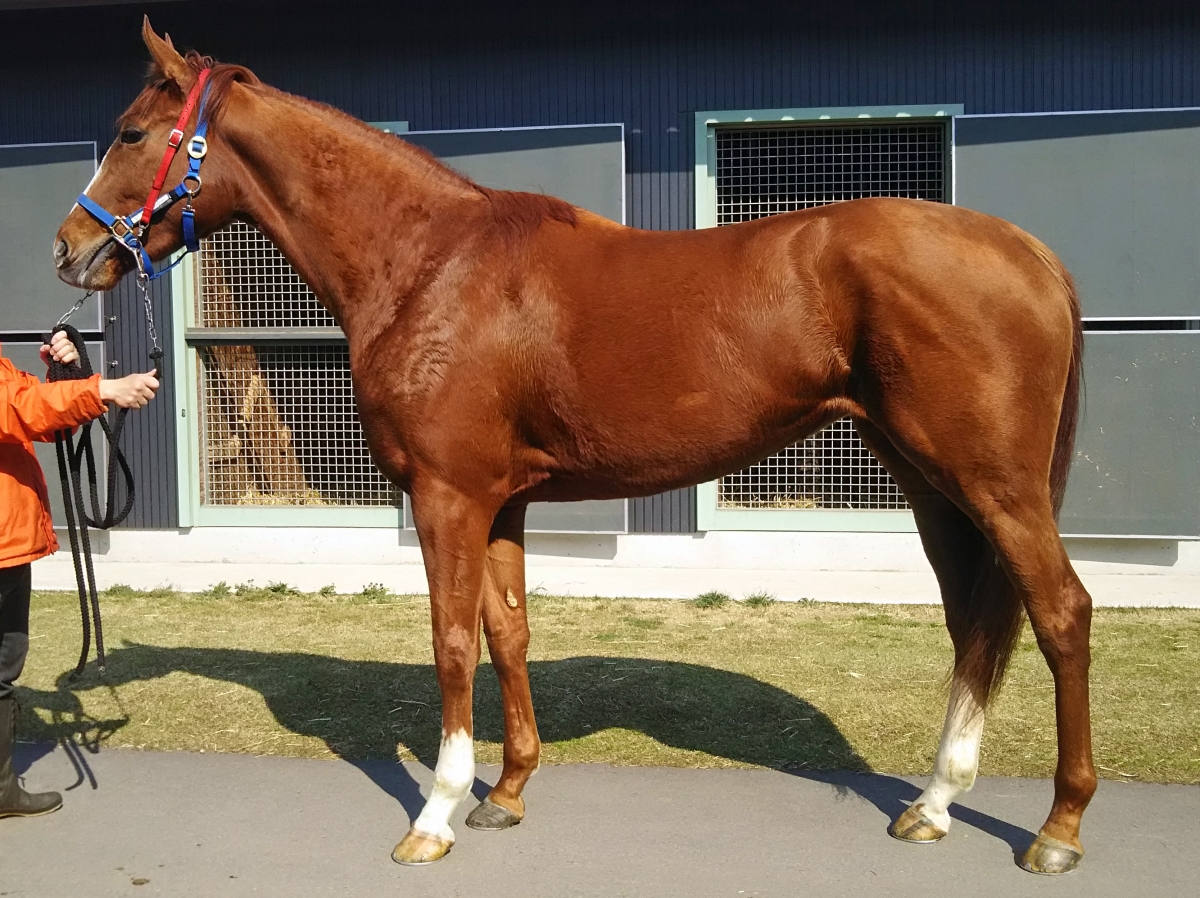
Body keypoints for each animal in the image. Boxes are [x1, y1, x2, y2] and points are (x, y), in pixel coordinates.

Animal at [54, 19, 1095, 875]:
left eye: (131, 134)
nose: (69, 249)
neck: (430, 264)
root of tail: (1029, 252)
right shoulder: (501, 501)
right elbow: (508, 634)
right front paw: (507, 795)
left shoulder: (447, 497)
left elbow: (450, 642)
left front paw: (434, 815)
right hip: (931, 484)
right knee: (973, 623)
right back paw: (934, 803)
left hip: (992, 483)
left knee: (1061, 613)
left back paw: (1056, 829)